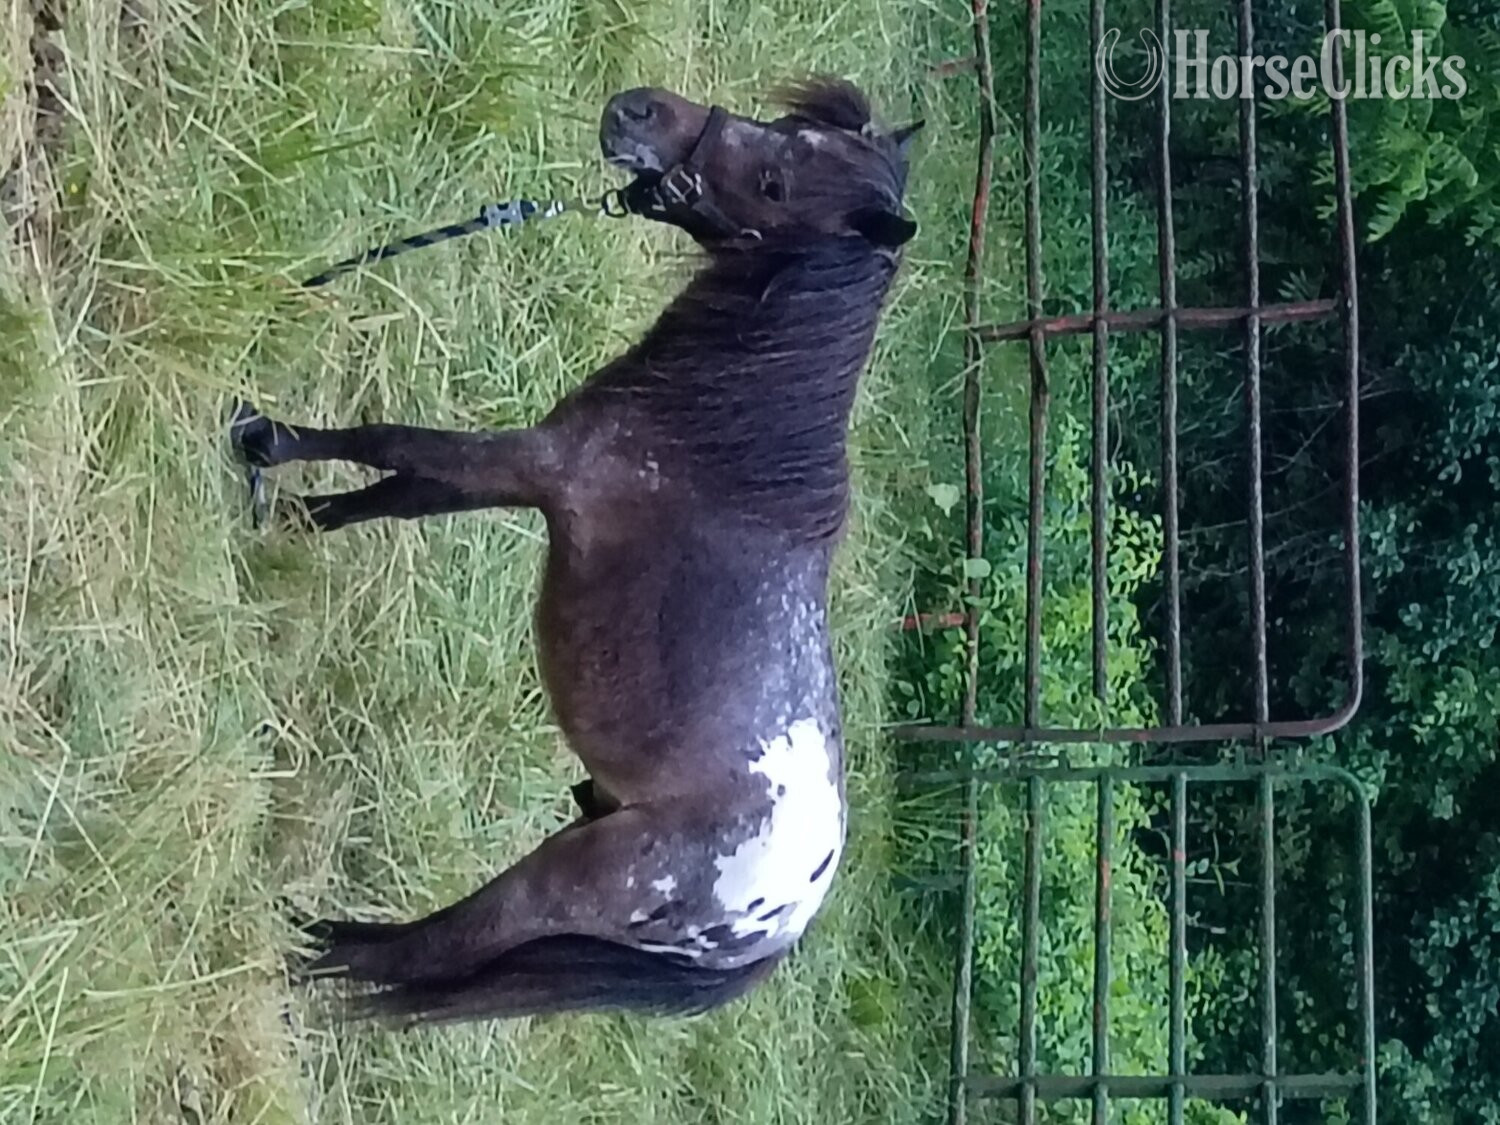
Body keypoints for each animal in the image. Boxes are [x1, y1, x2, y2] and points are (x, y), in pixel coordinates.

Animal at [233, 77, 920, 1025]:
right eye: (783, 127)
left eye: (777, 183)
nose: (639, 110)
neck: (716, 447)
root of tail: (780, 923)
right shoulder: (518, 479)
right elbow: (392, 494)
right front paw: (293, 521)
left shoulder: (532, 464)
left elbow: (387, 442)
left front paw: (261, 439)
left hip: (563, 879)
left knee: (435, 946)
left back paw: (304, 947)